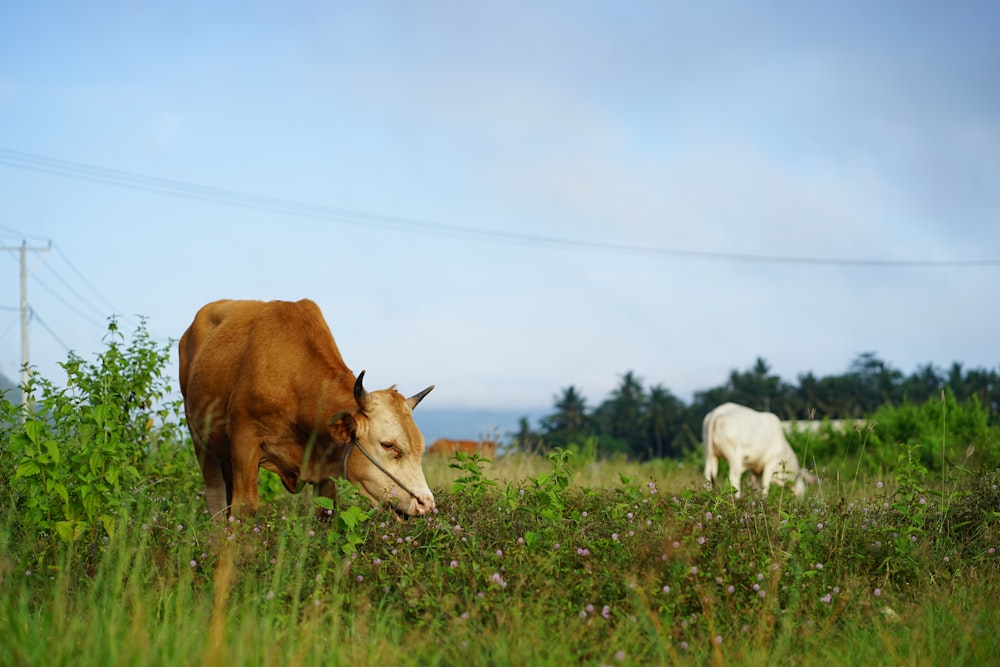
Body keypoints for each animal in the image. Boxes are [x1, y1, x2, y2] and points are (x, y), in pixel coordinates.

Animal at [178, 298, 436, 520]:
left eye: (420, 448)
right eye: (389, 445)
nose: (426, 503)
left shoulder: (324, 466)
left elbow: (325, 511)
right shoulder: (244, 443)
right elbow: (244, 508)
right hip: (200, 440)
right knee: (216, 497)